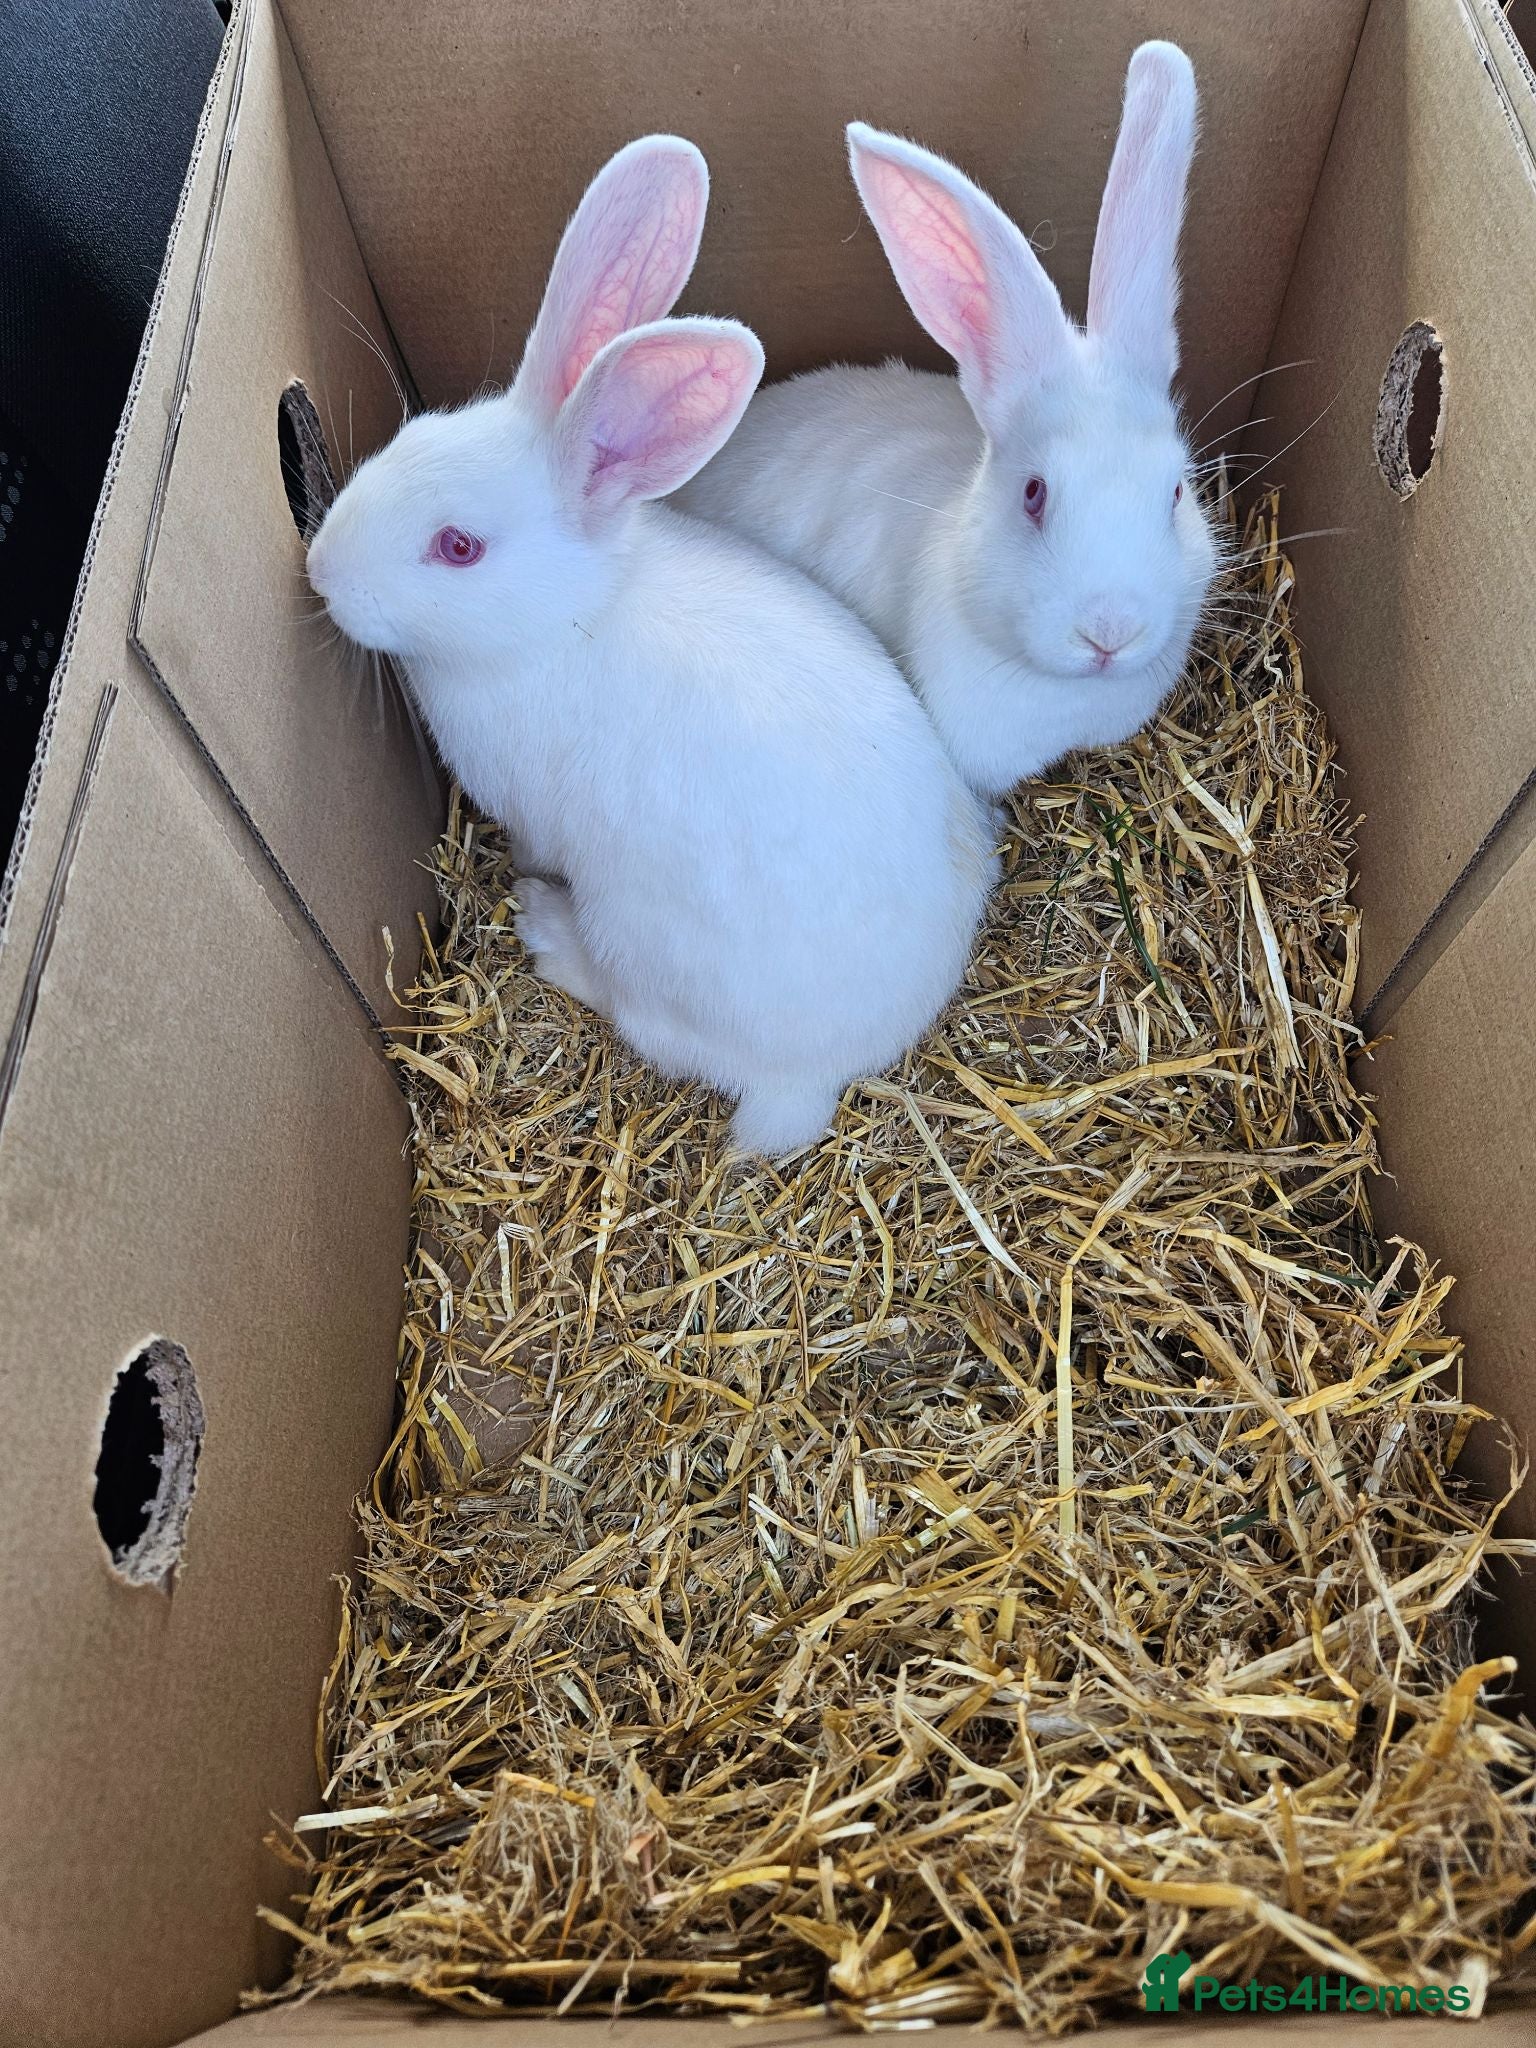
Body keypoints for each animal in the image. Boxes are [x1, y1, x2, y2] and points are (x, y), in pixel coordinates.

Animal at [305, 135, 997, 1158]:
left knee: (635, 1010)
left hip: (635, 931)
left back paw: (544, 927)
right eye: (416, 432)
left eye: (458, 547)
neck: (563, 616)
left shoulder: (528, 805)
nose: (320, 570)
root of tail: (820, 1076)